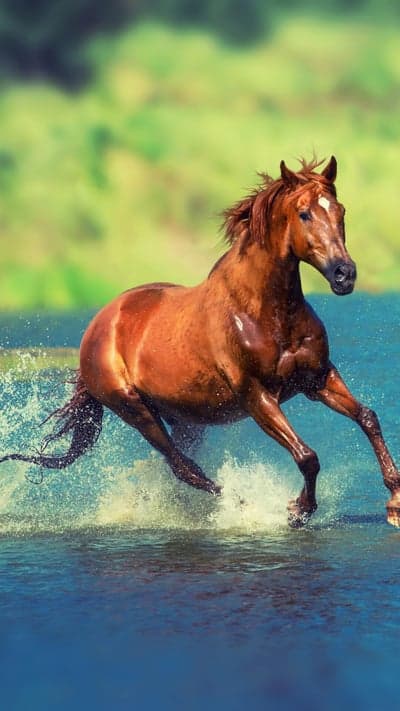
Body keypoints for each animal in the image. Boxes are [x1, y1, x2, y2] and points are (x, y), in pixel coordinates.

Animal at [2, 156, 400, 528]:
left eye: (340, 211)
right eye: (304, 214)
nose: (344, 274)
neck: (263, 312)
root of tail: (98, 327)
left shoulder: (317, 378)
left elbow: (368, 418)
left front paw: (394, 502)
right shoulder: (257, 396)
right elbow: (307, 456)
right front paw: (297, 510)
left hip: (186, 418)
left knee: (180, 466)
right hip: (134, 409)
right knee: (184, 467)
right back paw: (242, 505)